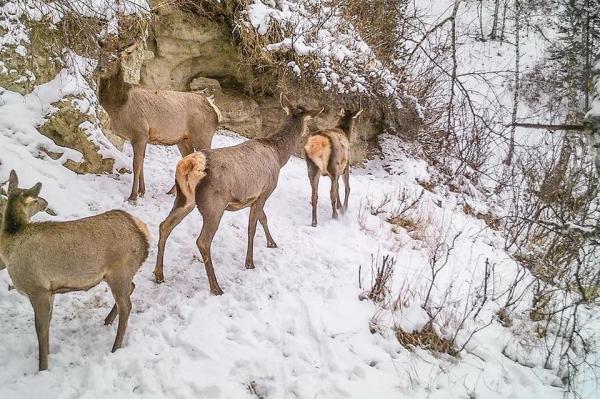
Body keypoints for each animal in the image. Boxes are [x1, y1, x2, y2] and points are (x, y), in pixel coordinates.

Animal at [0, 170, 150, 370]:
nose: (46, 201)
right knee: (132, 288)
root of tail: (143, 233)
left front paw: (43, 367)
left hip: (120, 270)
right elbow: (48, 323)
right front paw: (48, 354)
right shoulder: (50, 290)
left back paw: (115, 347)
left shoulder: (38, 289)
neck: (9, 248)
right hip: (117, 274)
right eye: (36, 200)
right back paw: (107, 321)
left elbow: (40, 329)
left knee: (127, 306)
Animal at [97, 43, 221, 203]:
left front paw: (133, 196)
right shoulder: (143, 137)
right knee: (186, 160)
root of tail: (216, 111)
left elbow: (136, 164)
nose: (99, 68)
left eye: (114, 58)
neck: (119, 107)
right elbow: (142, 162)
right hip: (183, 139)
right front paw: (142, 191)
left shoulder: (140, 132)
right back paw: (174, 192)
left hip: (203, 135)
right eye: (100, 53)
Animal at [155, 95, 324, 296]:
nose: (307, 137)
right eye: (308, 124)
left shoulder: (254, 197)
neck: (278, 156)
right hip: (214, 204)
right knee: (203, 241)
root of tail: (189, 164)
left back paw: (158, 274)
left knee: (164, 225)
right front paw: (250, 262)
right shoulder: (265, 191)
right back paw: (215, 287)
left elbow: (263, 218)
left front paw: (272, 243)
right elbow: (252, 227)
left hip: (184, 199)